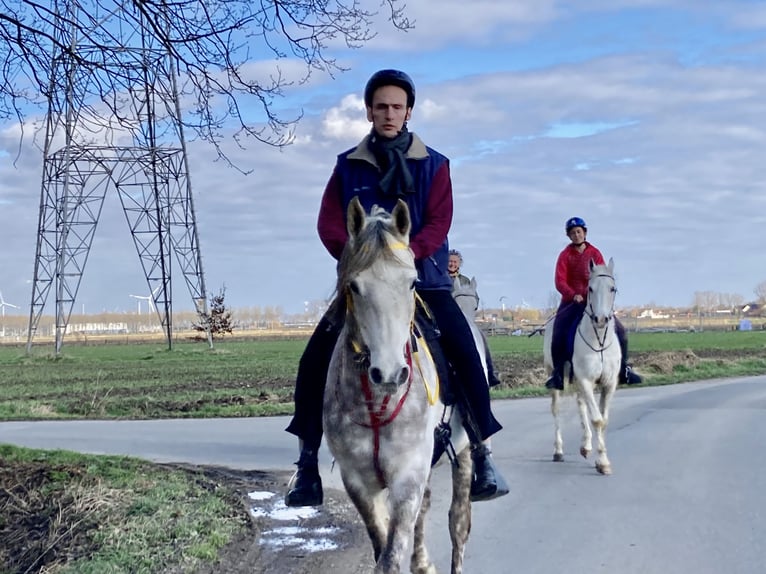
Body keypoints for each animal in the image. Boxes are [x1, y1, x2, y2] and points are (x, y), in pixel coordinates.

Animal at [322, 199, 474, 574]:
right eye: (354, 286)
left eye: (411, 283)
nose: (390, 373)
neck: (375, 404)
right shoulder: (359, 481)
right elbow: (381, 548)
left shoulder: (407, 476)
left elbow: (390, 557)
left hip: (463, 453)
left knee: (458, 523)